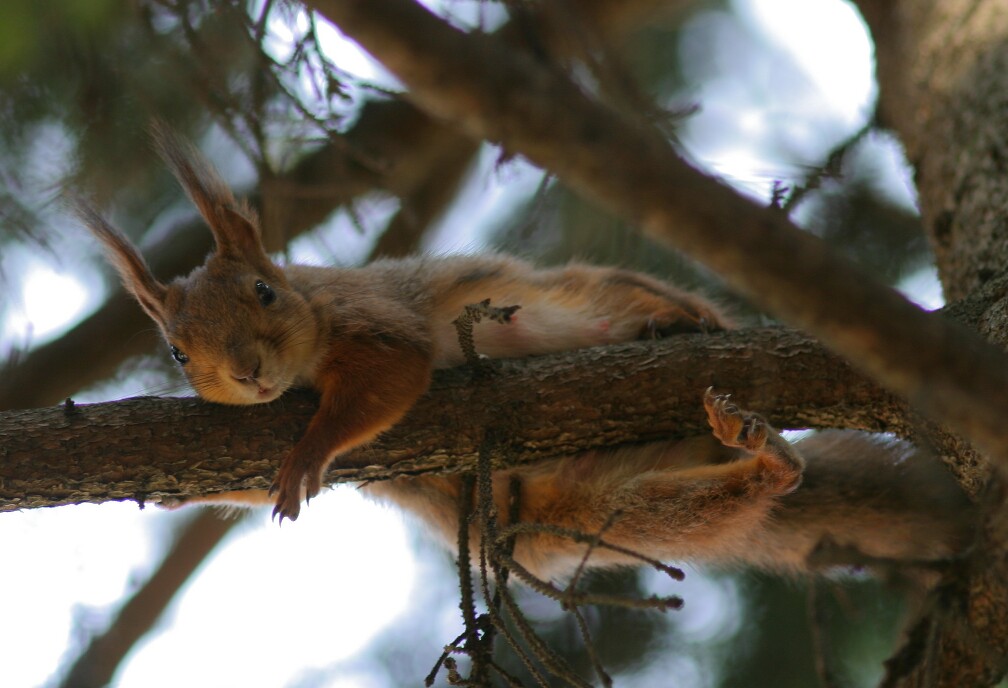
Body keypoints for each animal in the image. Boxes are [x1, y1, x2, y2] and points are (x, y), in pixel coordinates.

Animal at [73, 128, 975, 580]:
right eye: (177, 354)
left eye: (264, 291)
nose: (249, 375)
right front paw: (166, 496)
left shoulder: (374, 318)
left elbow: (393, 373)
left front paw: (308, 452)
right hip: (585, 511)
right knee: (700, 500)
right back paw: (763, 464)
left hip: (597, 293)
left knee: (648, 304)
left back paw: (676, 324)